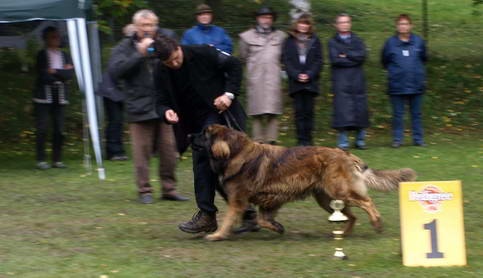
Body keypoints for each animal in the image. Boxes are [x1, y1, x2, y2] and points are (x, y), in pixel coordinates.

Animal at [191, 124, 418, 241]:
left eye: (203, 133)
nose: (188, 133)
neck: (235, 152)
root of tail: (346, 154)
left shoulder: (238, 200)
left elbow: (229, 219)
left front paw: (217, 234)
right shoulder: (270, 199)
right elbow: (263, 219)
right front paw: (277, 227)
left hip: (339, 192)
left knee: (367, 202)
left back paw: (376, 223)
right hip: (328, 200)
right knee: (351, 216)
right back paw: (344, 233)